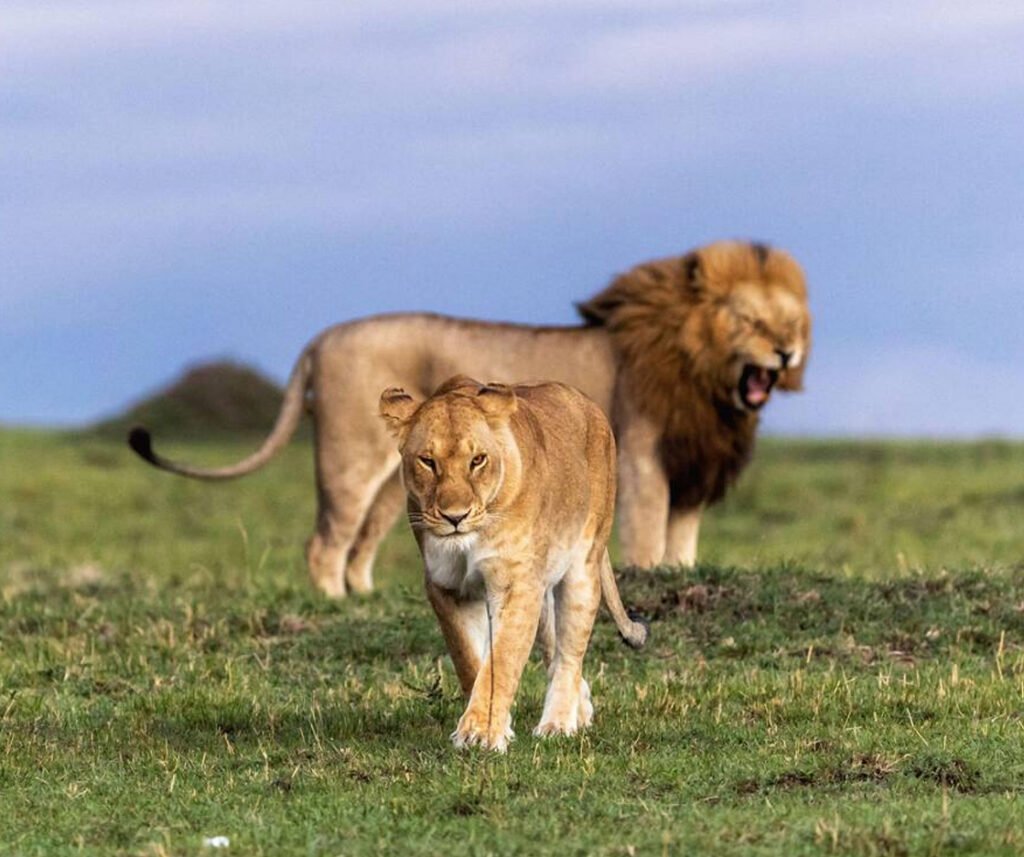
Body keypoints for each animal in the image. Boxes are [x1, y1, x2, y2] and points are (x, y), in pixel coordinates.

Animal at [129, 240, 810, 597]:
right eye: (750, 320)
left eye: (792, 321)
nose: (786, 352)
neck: (709, 384)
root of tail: (321, 338)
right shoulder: (645, 461)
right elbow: (646, 538)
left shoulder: (694, 472)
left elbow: (682, 546)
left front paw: (678, 572)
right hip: (351, 457)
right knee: (325, 543)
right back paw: (333, 604)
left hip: (403, 481)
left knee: (360, 545)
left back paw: (367, 600)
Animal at [379, 376, 648, 752]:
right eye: (427, 461)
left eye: (477, 460)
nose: (455, 517)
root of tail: (584, 400)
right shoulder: (447, 587)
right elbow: (470, 661)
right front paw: (496, 725)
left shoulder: (515, 584)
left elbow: (502, 660)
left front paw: (481, 734)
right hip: (544, 586)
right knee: (553, 647)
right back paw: (579, 709)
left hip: (582, 566)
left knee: (570, 654)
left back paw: (558, 724)